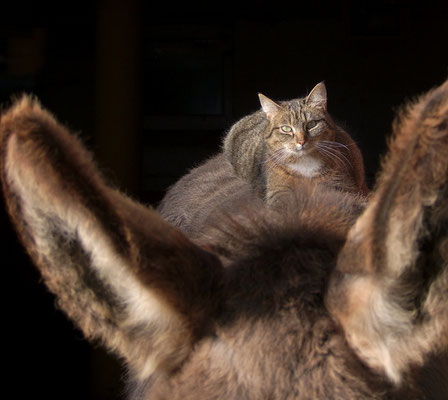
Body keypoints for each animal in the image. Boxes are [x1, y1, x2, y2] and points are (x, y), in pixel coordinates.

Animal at [224, 81, 368, 206]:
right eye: (286, 129)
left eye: (311, 124)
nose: (301, 141)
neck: (305, 162)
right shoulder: (278, 191)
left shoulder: (344, 185)